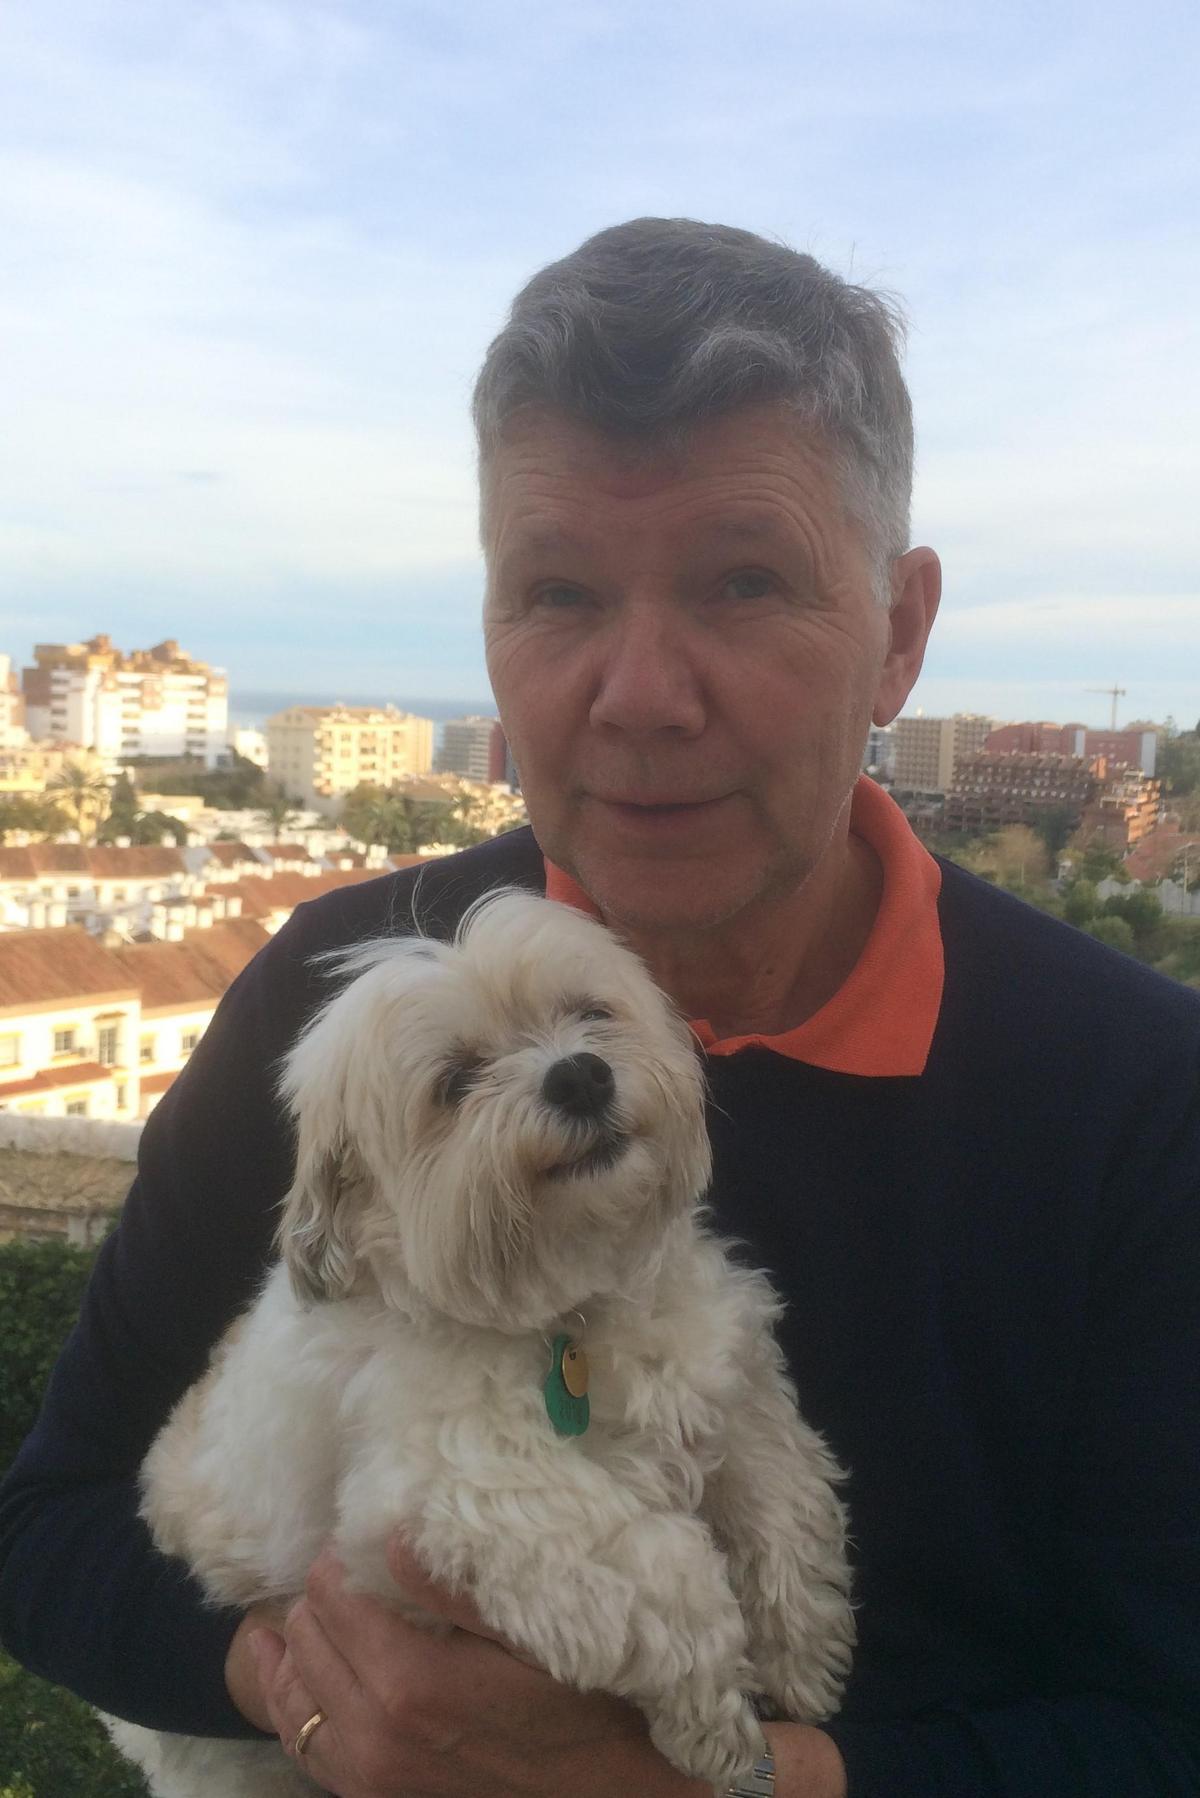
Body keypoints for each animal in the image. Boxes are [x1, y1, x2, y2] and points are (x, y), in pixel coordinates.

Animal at [106, 890, 854, 1797]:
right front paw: (713, 1716)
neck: (568, 1306)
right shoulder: (460, 1495)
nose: (579, 1074)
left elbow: (781, 1488)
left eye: (590, 1013)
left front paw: (801, 1646)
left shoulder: (727, 1375)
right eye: (455, 1081)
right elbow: (657, 1572)